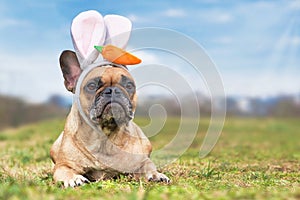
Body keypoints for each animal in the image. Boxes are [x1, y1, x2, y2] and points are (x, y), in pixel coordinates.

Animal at [50, 48, 170, 188]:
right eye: (92, 86)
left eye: (129, 85)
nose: (113, 90)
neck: (105, 135)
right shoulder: (64, 165)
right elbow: (65, 171)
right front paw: (74, 179)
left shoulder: (143, 161)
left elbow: (148, 166)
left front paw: (156, 175)